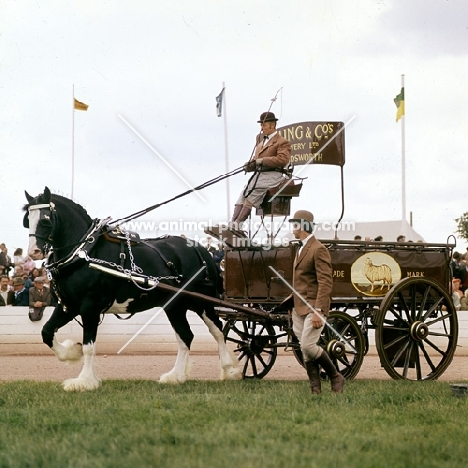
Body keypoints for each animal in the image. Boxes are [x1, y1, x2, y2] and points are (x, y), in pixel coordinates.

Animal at [23, 187, 239, 392]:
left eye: (46, 220)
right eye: (27, 220)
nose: (34, 252)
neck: (84, 253)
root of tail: (199, 249)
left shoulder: (90, 307)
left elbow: (89, 347)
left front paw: (84, 381)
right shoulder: (68, 305)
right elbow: (46, 332)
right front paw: (71, 352)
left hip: (202, 302)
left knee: (217, 330)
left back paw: (229, 370)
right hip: (174, 306)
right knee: (186, 336)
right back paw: (175, 376)